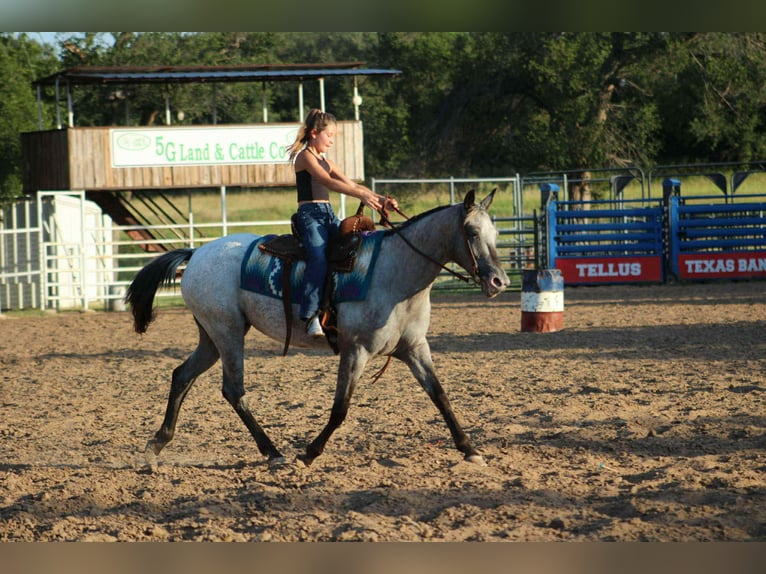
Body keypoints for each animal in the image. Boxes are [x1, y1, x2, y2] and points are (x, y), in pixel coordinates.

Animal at [126, 190, 510, 470]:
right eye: (471, 232)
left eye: (496, 233)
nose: (500, 281)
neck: (396, 271)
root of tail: (197, 253)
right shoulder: (356, 351)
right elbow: (340, 409)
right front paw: (309, 453)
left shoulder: (415, 348)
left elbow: (440, 395)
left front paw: (469, 448)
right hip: (228, 332)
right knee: (233, 390)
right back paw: (273, 452)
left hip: (211, 336)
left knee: (182, 375)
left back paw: (156, 445)